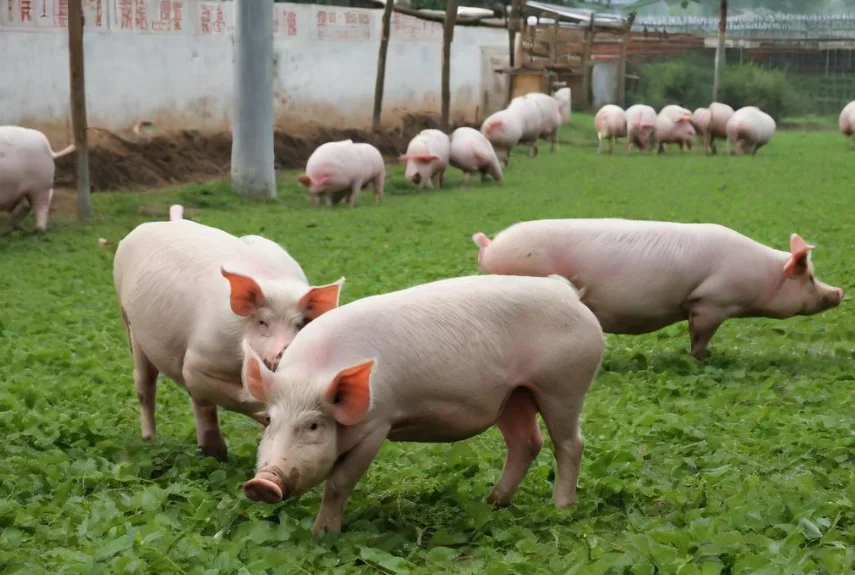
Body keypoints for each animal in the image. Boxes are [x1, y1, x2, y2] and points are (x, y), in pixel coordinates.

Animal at [113, 219, 345, 460]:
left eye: (299, 325)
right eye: (262, 322)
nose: (285, 351)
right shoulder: (197, 361)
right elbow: (235, 397)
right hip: (131, 325)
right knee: (145, 384)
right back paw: (152, 440)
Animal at [239, 274, 605, 535]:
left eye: (313, 425)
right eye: (269, 421)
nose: (262, 483)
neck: (312, 372)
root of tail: (566, 292)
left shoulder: (378, 423)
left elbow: (339, 482)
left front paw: (322, 535)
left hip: (564, 384)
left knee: (569, 443)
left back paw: (561, 509)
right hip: (514, 396)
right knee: (527, 442)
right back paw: (492, 502)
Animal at [472, 219, 844, 359]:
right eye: (810, 278)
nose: (840, 292)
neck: (763, 277)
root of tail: (490, 247)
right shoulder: (711, 302)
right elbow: (700, 336)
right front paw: (699, 359)